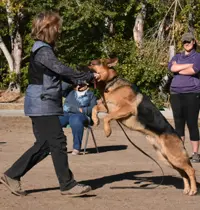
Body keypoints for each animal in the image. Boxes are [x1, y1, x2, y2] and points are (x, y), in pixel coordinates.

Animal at [88, 57, 197, 195]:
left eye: (94, 64)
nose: (82, 68)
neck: (110, 84)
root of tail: (178, 137)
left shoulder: (126, 108)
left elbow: (107, 117)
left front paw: (107, 131)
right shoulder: (108, 107)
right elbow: (95, 108)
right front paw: (95, 120)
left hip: (175, 158)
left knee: (191, 170)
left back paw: (193, 190)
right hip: (167, 159)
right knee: (183, 172)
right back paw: (187, 189)